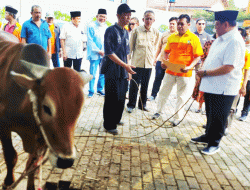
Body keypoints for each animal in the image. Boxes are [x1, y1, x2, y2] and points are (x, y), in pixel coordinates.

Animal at [0, 30, 92, 189]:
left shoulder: (42, 137)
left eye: (79, 110)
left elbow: (32, 164)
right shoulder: (4, 127)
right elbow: (11, 156)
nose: (66, 161)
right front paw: (8, 182)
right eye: (46, 108)